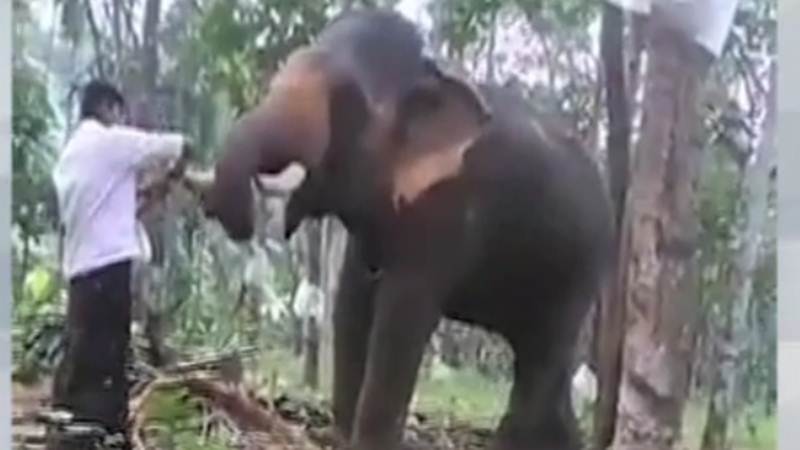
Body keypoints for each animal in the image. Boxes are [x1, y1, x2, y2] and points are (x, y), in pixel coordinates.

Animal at [198, 8, 615, 450]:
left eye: (346, 100)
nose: (223, 210)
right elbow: (351, 304)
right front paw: (340, 438)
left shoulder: (448, 207)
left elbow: (401, 317)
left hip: (578, 274)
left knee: (541, 363)